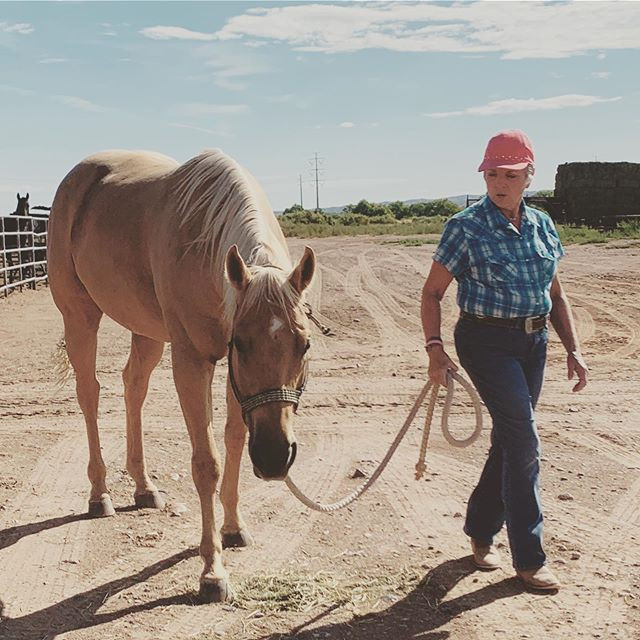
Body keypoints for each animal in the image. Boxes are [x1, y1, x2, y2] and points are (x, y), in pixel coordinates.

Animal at [48, 149, 316, 602]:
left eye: (305, 345)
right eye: (241, 342)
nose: (274, 458)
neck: (204, 243)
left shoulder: (232, 379)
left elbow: (234, 438)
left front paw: (234, 527)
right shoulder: (192, 361)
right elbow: (206, 463)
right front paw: (212, 571)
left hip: (147, 331)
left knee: (133, 387)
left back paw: (143, 487)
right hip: (79, 316)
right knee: (90, 394)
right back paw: (100, 494)